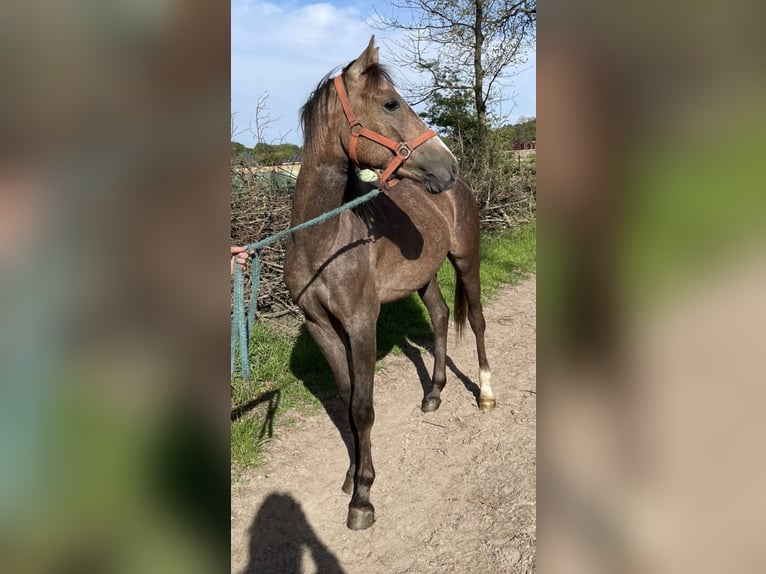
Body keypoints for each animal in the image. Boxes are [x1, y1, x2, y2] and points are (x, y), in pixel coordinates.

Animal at [284, 37, 496, 532]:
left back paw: (486, 394)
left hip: (467, 261)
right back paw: (434, 393)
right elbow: (347, 401)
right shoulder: (323, 328)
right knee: (440, 316)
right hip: (424, 277)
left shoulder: (362, 323)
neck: (325, 240)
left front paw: (363, 496)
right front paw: (351, 475)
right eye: (390, 103)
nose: (448, 165)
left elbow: (364, 407)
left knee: (476, 321)